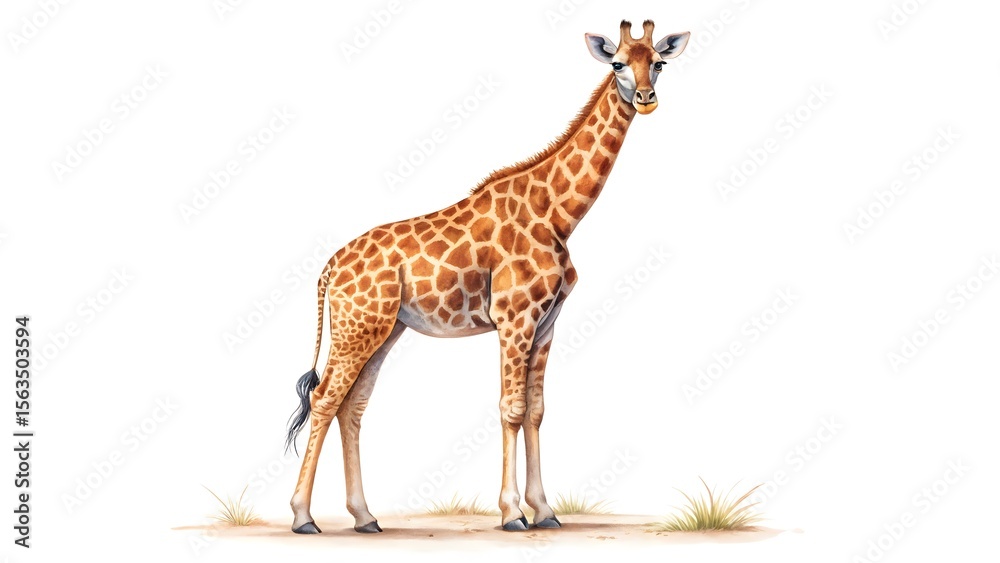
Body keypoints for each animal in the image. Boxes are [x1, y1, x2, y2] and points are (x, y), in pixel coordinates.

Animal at [285, 19, 689, 534]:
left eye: (658, 62)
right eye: (617, 63)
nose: (646, 97)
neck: (559, 215)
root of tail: (328, 269)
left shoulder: (547, 323)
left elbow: (536, 411)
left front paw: (545, 511)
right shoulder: (514, 317)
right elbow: (510, 410)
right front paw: (513, 513)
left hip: (384, 329)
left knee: (352, 406)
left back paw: (365, 517)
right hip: (359, 328)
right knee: (323, 399)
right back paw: (303, 518)